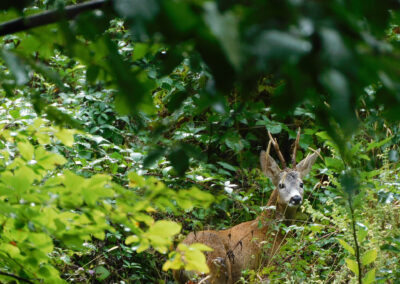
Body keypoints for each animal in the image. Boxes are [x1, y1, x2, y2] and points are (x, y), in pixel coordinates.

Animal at [173, 130, 320, 282]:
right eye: (281, 185)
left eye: (301, 184)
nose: (296, 198)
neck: (273, 230)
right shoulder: (272, 262)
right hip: (215, 269)